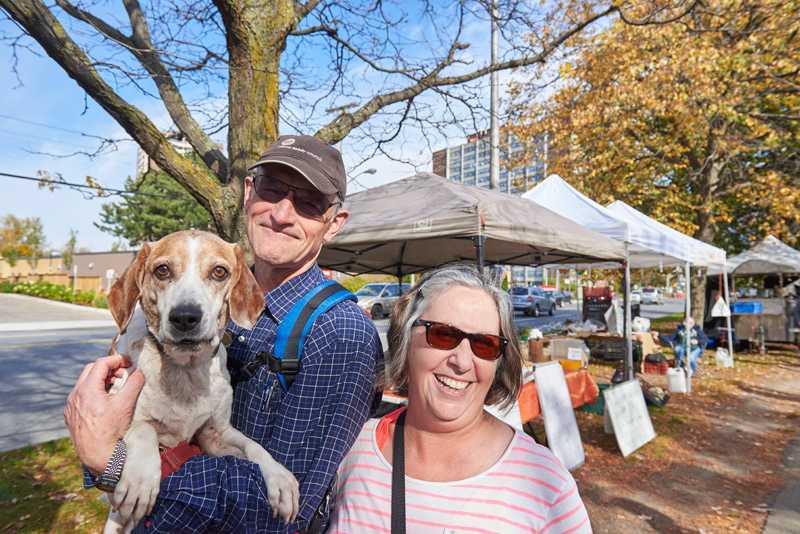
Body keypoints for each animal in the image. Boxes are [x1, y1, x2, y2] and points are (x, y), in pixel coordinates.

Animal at [101, 231, 298, 534]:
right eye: (162, 270)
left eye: (219, 271)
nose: (184, 317)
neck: (186, 372)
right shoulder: (124, 420)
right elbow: (145, 430)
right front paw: (140, 482)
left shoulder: (214, 436)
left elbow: (254, 447)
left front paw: (279, 477)